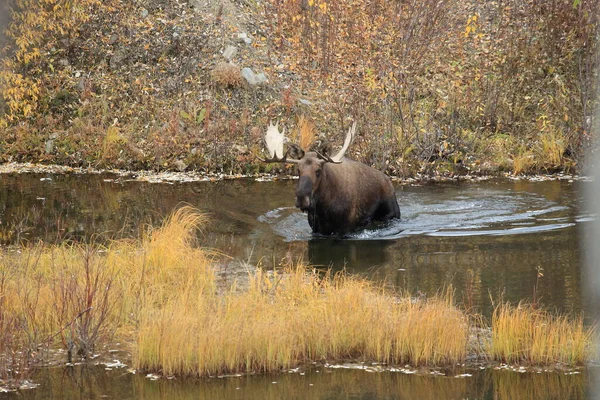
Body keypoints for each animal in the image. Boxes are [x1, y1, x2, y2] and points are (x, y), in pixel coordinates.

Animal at [260, 122, 400, 234]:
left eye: (318, 171)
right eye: (298, 170)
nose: (301, 199)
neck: (323, 209)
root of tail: (389, 182)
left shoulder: (346, 229)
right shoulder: (316, 229)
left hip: (392, 213)